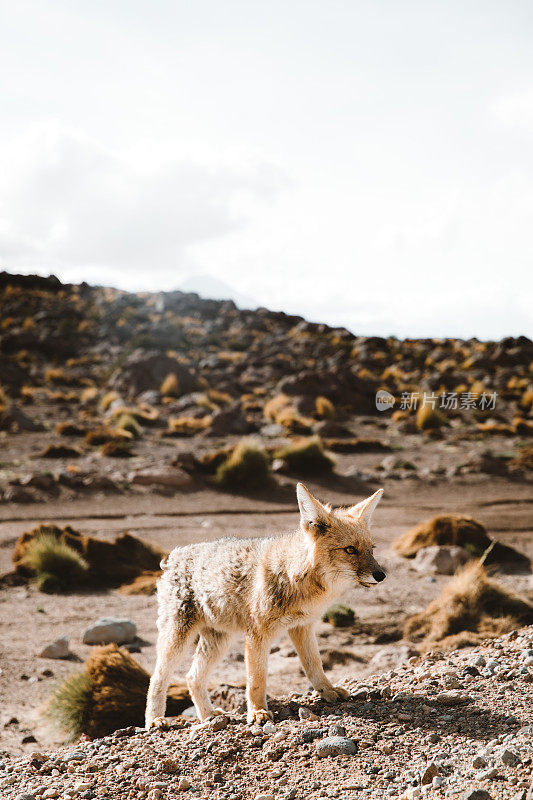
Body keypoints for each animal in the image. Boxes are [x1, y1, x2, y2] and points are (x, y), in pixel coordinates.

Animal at [145, 482, 384, 724]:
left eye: (372, 548)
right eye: (350, 549)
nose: (381, 575)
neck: (297, 577)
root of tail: (174, 556)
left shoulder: (303, 627)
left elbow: (314, 664)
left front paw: (328, 690)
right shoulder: (257, 634)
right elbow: (257, 678)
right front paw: (258, 711)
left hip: (218, 642)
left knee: (191, 677)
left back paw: (208, 715)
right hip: (178, 641)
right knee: (157, 678)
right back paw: (155, 720)